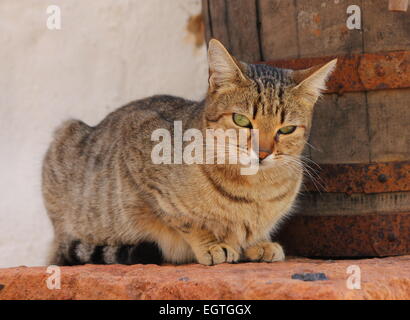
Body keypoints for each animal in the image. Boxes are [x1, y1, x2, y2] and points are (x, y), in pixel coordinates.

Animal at [42, 39, 336, 264]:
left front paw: (258, 243)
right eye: (241, 120)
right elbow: (187, 221)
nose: (262, 153)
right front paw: (212, 244)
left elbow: (254, 230)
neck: (256, 190)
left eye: (287, 129)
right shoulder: (138, 145)